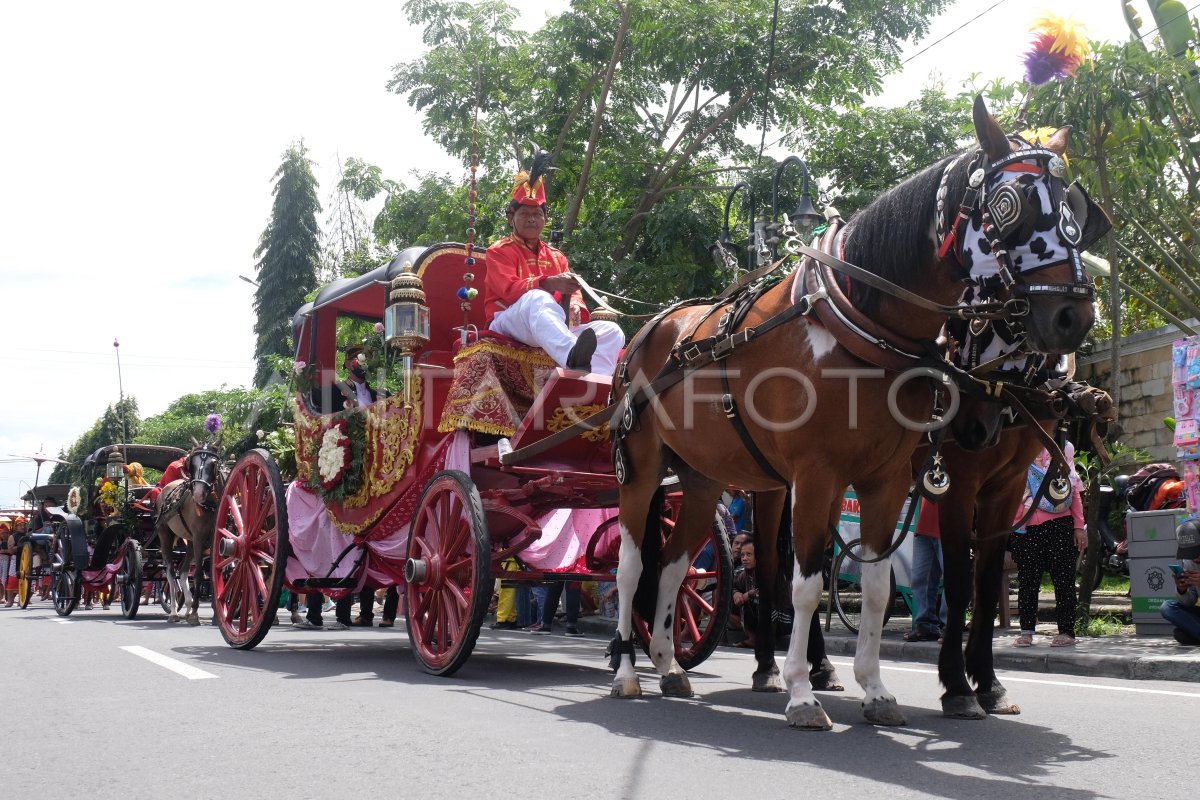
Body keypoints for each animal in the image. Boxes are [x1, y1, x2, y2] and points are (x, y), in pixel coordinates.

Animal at [153, 443, 224, 623]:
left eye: (213, 464)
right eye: (193, 464)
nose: (198, 494)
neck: (210, 506)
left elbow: (214, 573)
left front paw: (215, 614)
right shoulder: (199, 538)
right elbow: (198, 573)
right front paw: (195, 613)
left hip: (190, 542)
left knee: (183, 571)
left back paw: (187, 607)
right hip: (165, 535)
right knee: (171, 573)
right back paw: (174, 612)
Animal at [609, 97, 1099, 729]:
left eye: (1071, 210)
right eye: (1009, 204)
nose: (1071, 316)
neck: (859, 328)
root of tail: (650, 330)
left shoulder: (901, 481)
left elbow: (885, 584)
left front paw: (886, 689)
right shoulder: (841, 476)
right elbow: (819, 585)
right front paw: (808, 693)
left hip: (706, 479)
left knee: (675, 566)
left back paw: (674, 666)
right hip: (644, 472)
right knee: (633, 567)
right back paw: (630, 670)